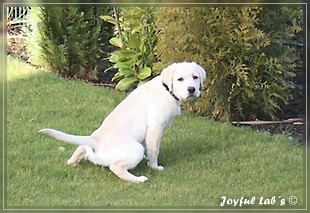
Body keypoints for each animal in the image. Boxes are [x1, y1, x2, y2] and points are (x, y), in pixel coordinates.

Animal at [38, 61, 206, 183]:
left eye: (195, 77)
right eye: (180, 79)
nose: (191, 89)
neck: (166, 89)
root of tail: (95, 141)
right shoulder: (155, 128)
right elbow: (153, 150)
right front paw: (154, 167)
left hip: (88, 145)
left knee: (79, 150)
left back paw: (72, 161)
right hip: (135, 149)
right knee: (116, 167)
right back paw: (139, 179)